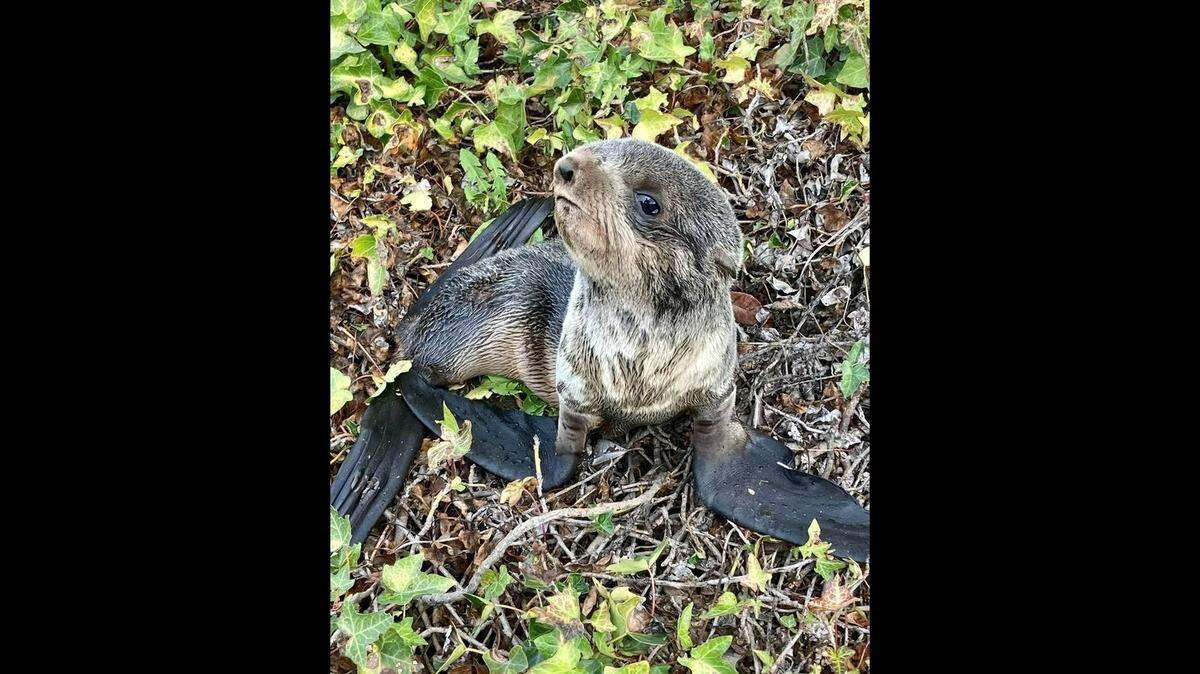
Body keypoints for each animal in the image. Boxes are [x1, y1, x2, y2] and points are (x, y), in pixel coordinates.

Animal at [331, 139, 869, 561]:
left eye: (648, 202)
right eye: (599, 145)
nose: (566, 167)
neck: (640, 364)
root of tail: (409, 331)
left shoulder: (716, 389)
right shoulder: (574, 388)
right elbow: (560, 455)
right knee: (410, 379)